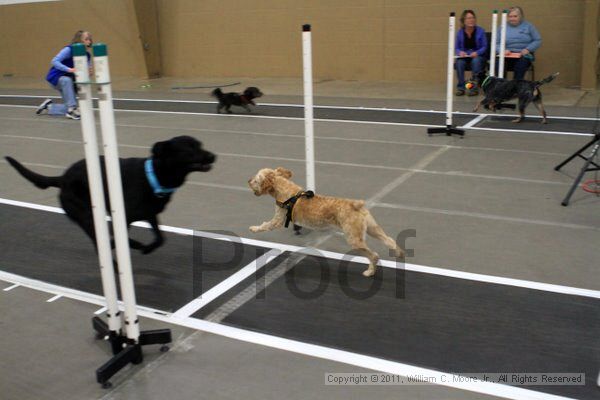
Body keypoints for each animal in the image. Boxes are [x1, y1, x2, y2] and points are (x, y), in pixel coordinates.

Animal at [5, 134, 216, 253]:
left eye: (200, 144)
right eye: (189, 149)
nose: (213, 156)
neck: (155, 175)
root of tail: (62, 178)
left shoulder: (150, 214)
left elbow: (160, 238)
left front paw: (148, 248)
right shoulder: (123, 217)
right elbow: (120, 237)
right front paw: (135, 246)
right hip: (85, 215)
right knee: (100, 240)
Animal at [246, 167, 406, 276]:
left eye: (256, 179)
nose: (248, 180)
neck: (286, 190)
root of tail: (356, 205)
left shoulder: (277, 220)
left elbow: (265, 225)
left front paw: (253, 228)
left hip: (354, 239)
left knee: (374, 255)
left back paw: (370, 271)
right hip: (373, 229)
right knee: (390, 240)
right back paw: (399, 254)